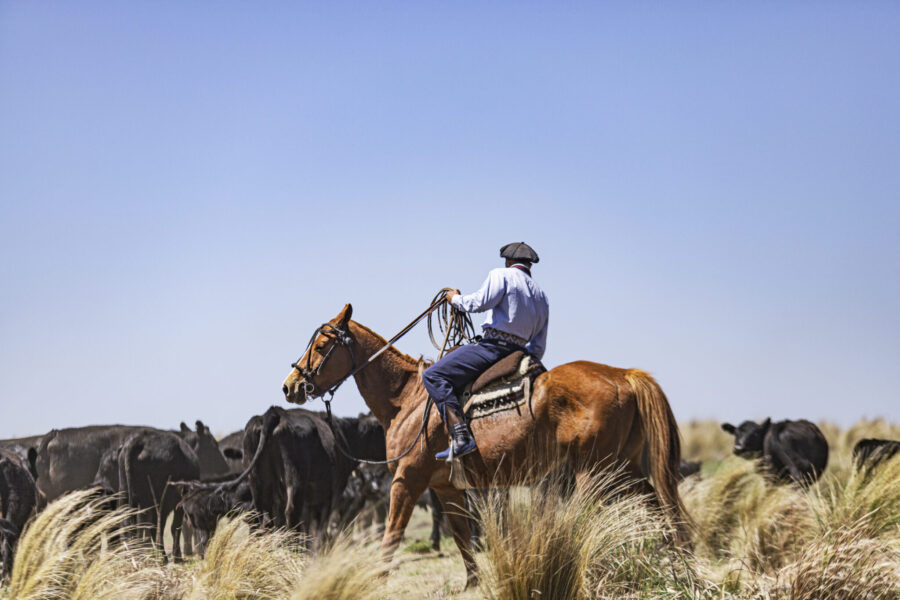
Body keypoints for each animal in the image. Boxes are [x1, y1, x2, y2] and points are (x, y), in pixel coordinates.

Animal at [282, 304, 689, 586]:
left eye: (321, 344)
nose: (290, 385)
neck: (407, 399)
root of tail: (624, 375)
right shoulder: (445, 487)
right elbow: (462, 537)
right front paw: (473, 583)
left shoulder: (406, 480)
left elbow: (392, 536)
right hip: (623, 468)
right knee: (658, 505)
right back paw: (677, 562)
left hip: (594, 472)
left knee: (595, 516)